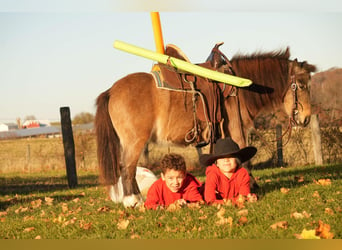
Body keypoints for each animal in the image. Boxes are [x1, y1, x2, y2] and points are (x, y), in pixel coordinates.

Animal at [95, 43, 316, 207]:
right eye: (301, 85)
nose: (306, 118)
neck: (239, 88)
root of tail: (111, 91)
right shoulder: (236, 129)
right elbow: (243, 158)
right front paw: (250, 186)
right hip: (135, 141)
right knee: (127, 167)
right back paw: (133, 201)